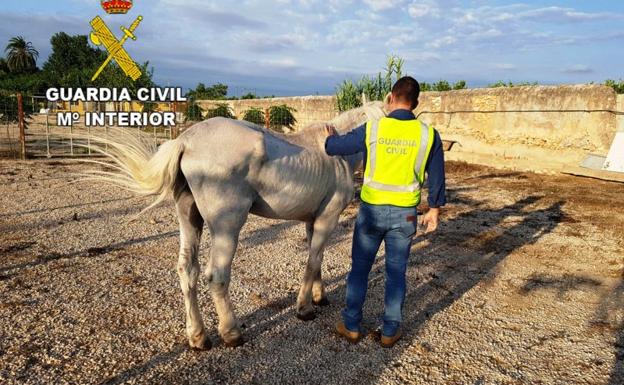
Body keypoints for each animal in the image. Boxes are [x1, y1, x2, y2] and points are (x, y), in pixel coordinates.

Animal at [89, 102, 386, 348]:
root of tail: (186, 141)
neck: (336, 155)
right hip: (227, 228)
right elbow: (312, 262)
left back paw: (198, 336)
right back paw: (231, 333)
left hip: (189, 219)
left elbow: (318, 260)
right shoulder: (328, 219)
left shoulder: (313, 221)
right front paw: (304, 309)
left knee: (187, 270)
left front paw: (319, 296)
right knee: (217, 276)